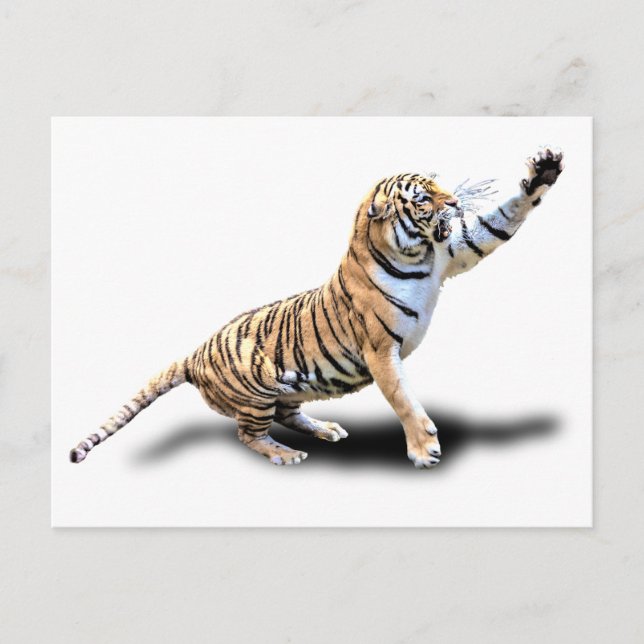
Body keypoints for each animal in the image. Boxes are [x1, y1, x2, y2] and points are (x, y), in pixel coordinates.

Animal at [69, 147, 564, 468]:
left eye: (440, 185)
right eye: (424, 197)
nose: (456, 202)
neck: (417, 256)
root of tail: (194, 352)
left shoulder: (455, 250)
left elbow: (500, 220)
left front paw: (542, 171)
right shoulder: (380, 351)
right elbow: (403, 399)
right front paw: (425, 451)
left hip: (290, 387)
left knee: (287, 415)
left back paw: (327, 429)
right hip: (257, 388)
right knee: (248, 433)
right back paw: (285, 454)